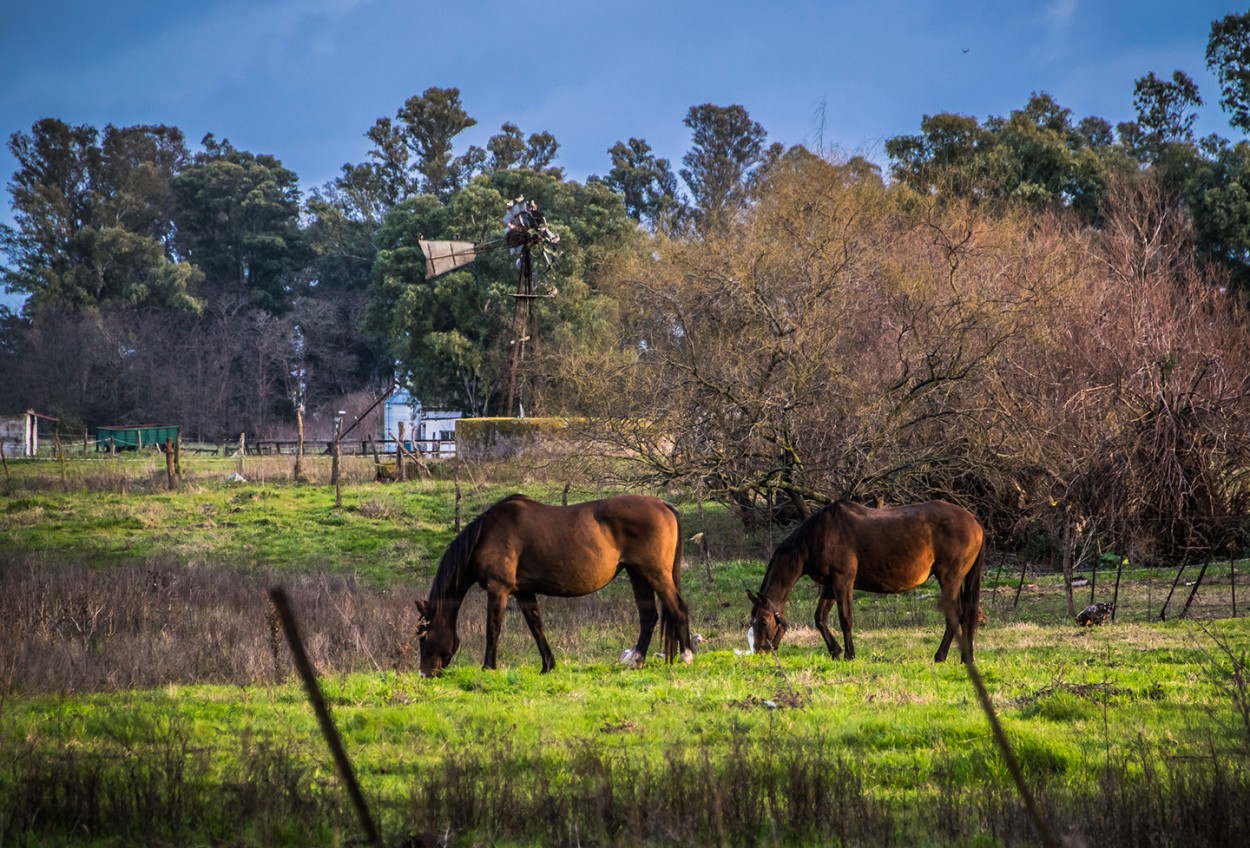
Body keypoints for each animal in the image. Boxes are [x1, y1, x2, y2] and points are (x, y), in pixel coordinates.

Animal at [417, 492, 695, 675]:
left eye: (423, 635)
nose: (425, 674)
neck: (487, 534)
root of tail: (663, 505)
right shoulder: (524, 592)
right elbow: (536, 627)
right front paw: (548, 666)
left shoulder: (499, 590)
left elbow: (492, 630)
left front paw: (488, 668)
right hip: (637, 574)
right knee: (649, 616)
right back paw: (636, 661)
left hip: (655, 573)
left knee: (678, 609)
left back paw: (686, 656)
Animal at [740, 505, 985, 665]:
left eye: (763, 622)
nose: (761, 651)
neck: (819, 536)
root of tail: (975, 520)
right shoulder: (830, 586)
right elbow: (820, 618)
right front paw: (835, 651)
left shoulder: (843, 581)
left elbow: (845, 619)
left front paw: (849, 654)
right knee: (965, 615)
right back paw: (966, 658)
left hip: (949, 579)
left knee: (956, 615)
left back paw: (940, 656)